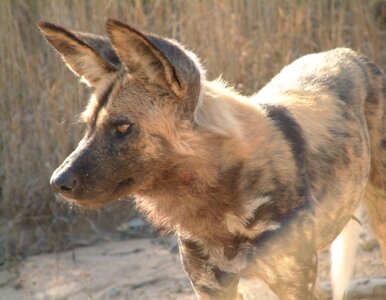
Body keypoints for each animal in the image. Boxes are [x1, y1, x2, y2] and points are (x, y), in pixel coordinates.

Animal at [40, 19, 386, 300]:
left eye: (122, 127)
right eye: (88, 126)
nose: (57, 182)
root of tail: (349, 53)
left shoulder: (296, 284)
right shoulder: (210, 286)